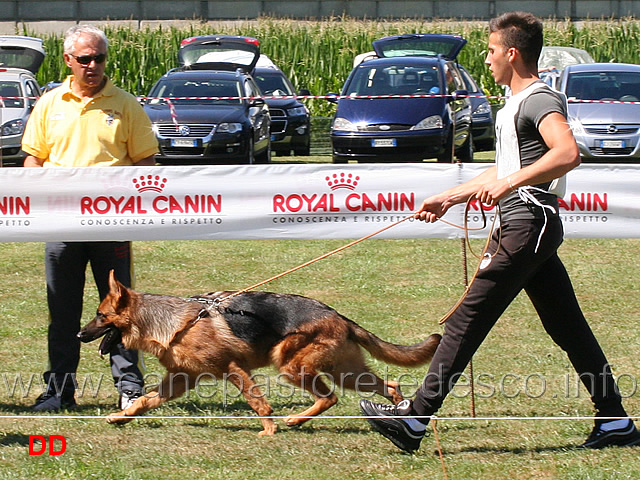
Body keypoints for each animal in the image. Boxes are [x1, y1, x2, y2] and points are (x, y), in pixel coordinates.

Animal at [77, 270, 442, 436]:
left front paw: (268, 430)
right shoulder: (181, 380)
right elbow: (143, 401)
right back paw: (398, 415)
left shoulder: (233, 368)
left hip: (291, 366)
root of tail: (337, 315)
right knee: (389, 385)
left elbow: (257, 402)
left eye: (100, 315)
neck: (172, 323)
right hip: (347, 372)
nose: (79, 335)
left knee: (330, 398)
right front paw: (121, 416)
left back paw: (295, 420)